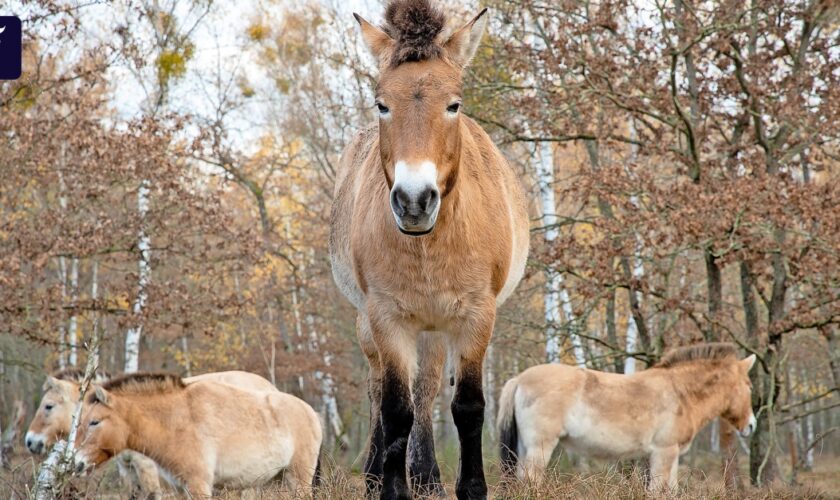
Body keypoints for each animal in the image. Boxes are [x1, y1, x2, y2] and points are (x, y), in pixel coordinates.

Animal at [74, 374, 324, 498]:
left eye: (94, 422)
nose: (77, 463)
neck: (176, 421)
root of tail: (311, 412)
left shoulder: (199, 485)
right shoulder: (181, 490)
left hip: (298, 479)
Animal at [332, 1, 528, 498]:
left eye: (453, 105)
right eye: (382, 104)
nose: (414, 200)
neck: (431, 244)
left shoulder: (476, 314)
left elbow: (467, 406)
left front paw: (469, 487)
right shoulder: (385, 316)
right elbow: (394, 408)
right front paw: (390, 487)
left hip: (436, 327)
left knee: (427, 386)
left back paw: (426, 477)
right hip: (373, 323)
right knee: (382, 389)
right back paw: (377, 474)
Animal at [496, 342, 756, 490]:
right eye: (749, 385)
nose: (752, 425)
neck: (678, 391)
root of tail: (519, 379)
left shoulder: (670, 456)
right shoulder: (664, 453)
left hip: (523, 449)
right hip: (540, 447)